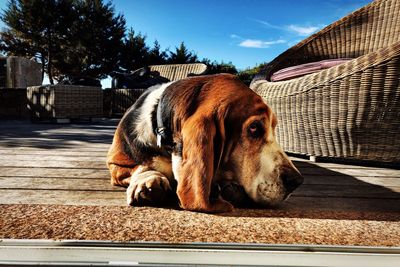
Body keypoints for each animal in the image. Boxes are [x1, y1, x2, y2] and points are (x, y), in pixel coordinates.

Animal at [107, 74, 304, 214]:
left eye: (273, 127)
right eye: (254, 128)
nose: (297, 181)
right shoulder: (115, 163)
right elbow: (140, 167)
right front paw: (149, 181)